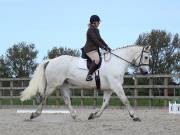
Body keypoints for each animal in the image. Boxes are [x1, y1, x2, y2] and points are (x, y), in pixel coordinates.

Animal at [20, 45, 151, 121]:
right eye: (145, 57)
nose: (146, 72)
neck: (116, 62)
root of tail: (51, 61)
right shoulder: (116, 86)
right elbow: (125, 100)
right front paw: (135, 116)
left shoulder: (109, 89)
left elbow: (105, 104)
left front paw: (93, 115)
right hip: (53, 85)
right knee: (43, 98)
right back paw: (34, 115)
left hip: (64, 84)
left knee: (67, 101)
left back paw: (75, 116)